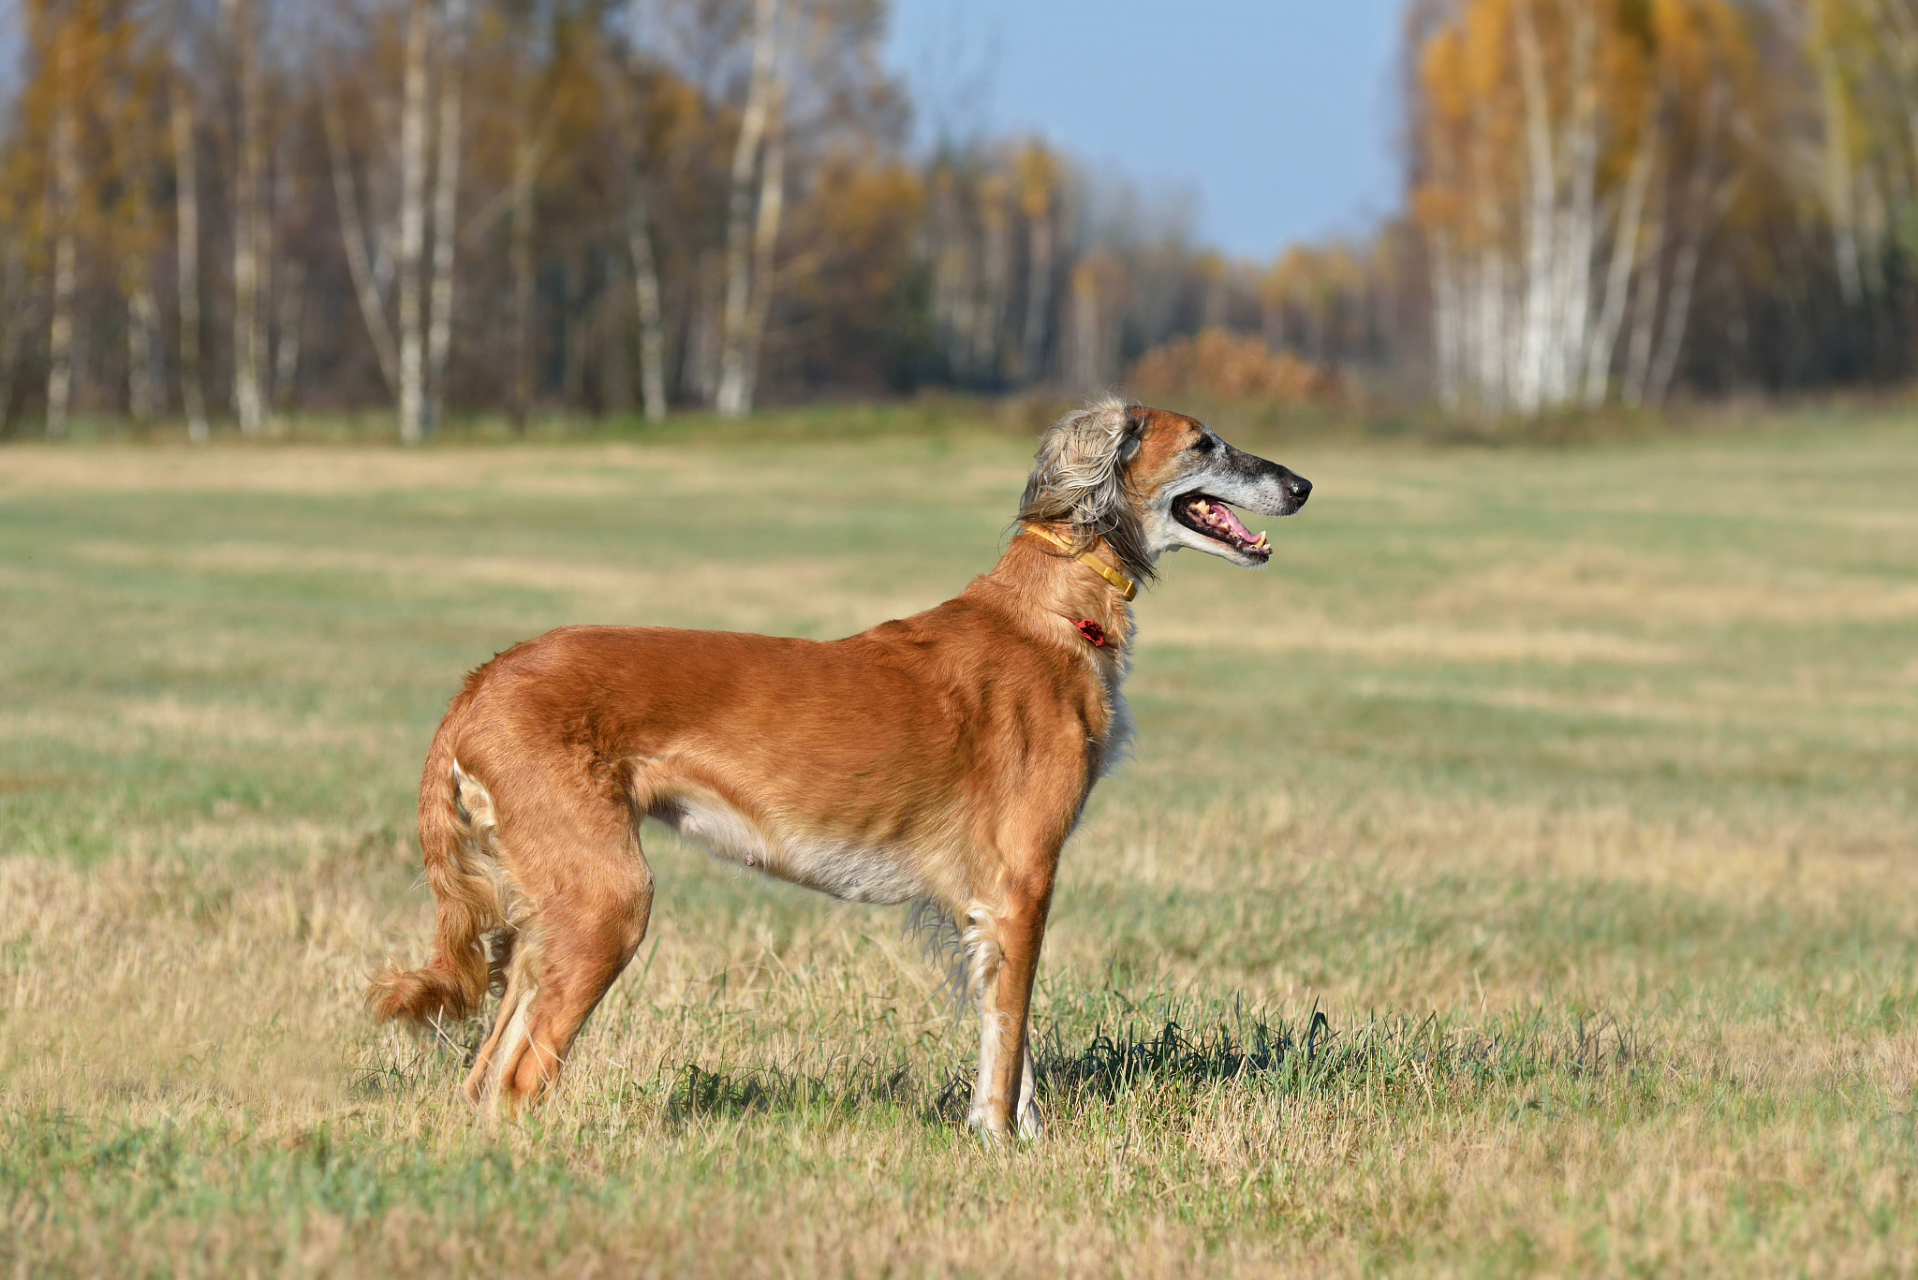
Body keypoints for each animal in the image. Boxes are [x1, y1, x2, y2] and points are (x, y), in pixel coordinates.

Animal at [366, 401, 1311, 1143]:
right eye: (1206, 443)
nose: (1303, 487)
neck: (1049, 613)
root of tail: (482, 680)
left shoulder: (985, 903)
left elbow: (1014, 1045)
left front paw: (1023, 1139)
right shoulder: (1022, 880)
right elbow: (1010, 1040)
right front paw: (998, 1140)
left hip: (552, 919)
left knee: (484, 1077)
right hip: (609, 902)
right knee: (518, 1082)